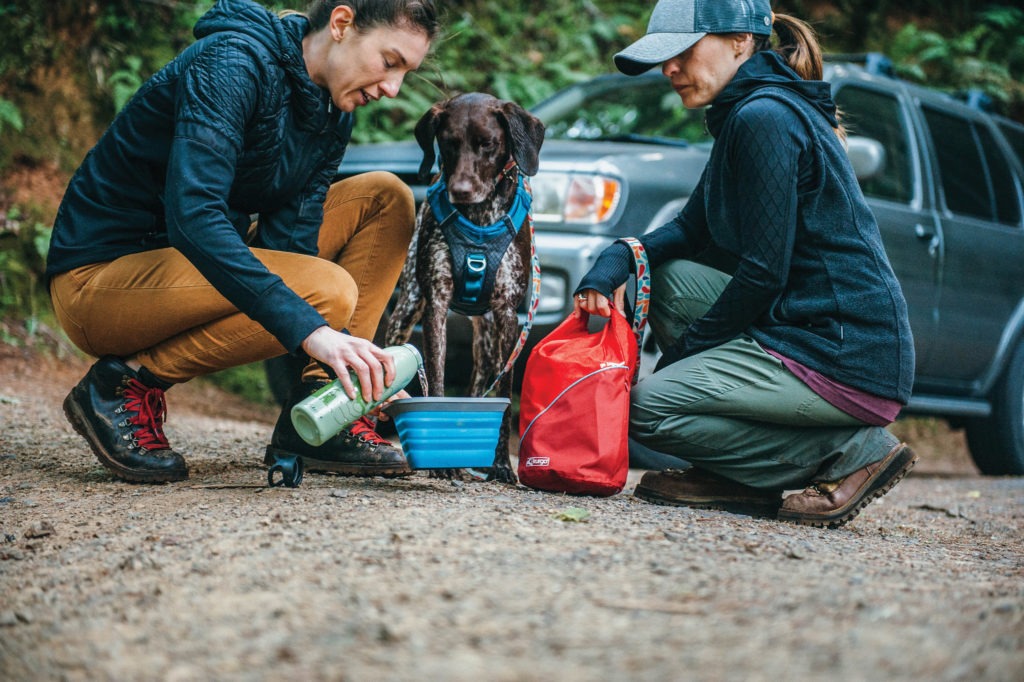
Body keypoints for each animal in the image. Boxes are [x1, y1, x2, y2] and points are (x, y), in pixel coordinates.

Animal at [385, 93, 544, 481]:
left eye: (488, 144)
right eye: (448, 142)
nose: (460, 191)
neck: (480, 220)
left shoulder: (507, 316)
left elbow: (504, 394)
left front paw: (501, 465)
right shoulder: (436, 306)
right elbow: (437, 379)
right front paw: (443, 463)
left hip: (486, 340)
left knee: (480, 384)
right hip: (406, 310)